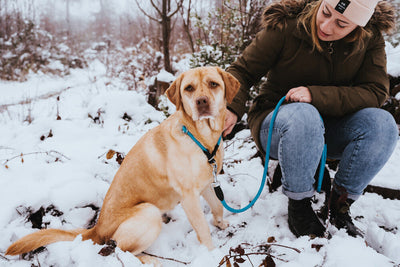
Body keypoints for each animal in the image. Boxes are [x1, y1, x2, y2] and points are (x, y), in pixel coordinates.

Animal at [6, 66, 239, 264]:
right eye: (189, 88)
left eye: (213, 84)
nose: (202, 102)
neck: (200, 137)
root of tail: (96, 229)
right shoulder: (189, 196)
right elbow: (203, 229)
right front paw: (212, 255)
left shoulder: (208, 182)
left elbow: (218, 206)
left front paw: (220, 223)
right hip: (149, 212)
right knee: (118, 249)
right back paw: (150, 260)